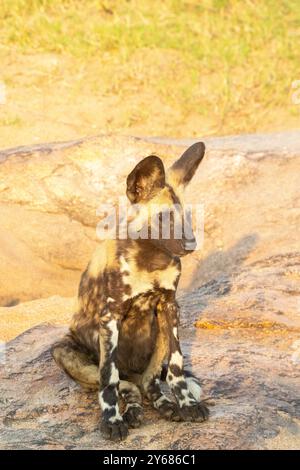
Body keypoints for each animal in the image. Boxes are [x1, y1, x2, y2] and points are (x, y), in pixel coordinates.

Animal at [52, 142, 209, 440]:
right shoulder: (110, 317)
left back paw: (164, 405)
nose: (191, 245)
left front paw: (186, 404)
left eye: (186, 217)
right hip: (64, 351)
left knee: (147, 382)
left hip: (158, 333)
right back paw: (132, 411)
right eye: (163, 219)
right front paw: (112, 420)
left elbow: (176, 367)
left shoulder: (170, 307)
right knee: (125, 384)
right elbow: (109, 380)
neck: (150, 258)